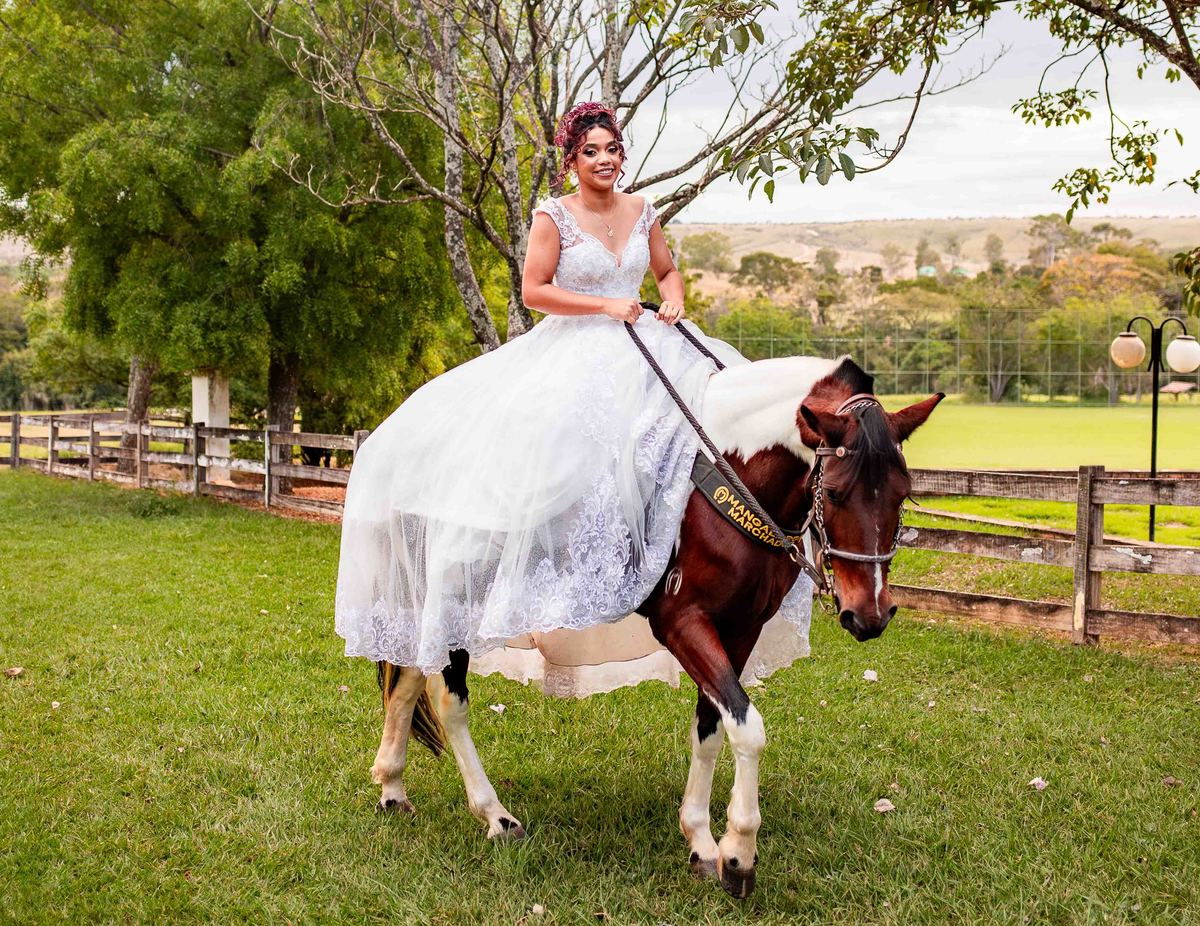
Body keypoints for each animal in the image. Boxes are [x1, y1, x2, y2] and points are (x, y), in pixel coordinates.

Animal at [369, 355, 942, 899]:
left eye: (903, 493)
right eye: (838, 493)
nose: (869, 614)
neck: (723, 476)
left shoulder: (740, 628)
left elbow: (712, 727)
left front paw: (702, 841)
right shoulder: (682, 623)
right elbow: (748, 728)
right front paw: (739, 853)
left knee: (407, 678)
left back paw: (392, 789)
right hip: (456, 592)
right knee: (449, 699)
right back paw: (494, 815)